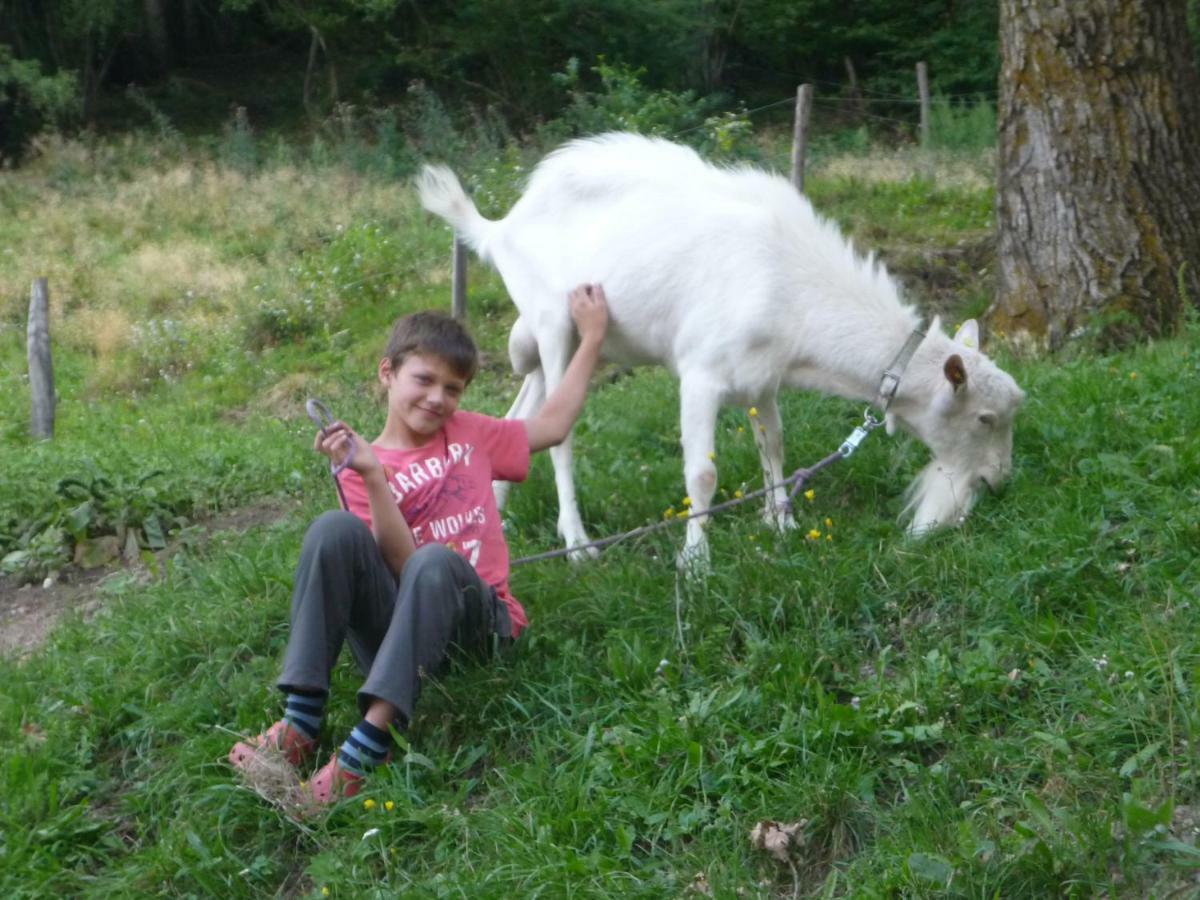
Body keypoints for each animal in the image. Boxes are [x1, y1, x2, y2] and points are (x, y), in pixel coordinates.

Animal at [417, 131, 1027, 566]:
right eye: (984, 418)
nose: (999, 483)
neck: (788, 285)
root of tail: (500, 227)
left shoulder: (762, 377)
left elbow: (774, 444)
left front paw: (780, 522)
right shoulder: (701, 375)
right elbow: (702, 475)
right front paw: (695, 561)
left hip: (580, 347)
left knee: (526, 414)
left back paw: (500, 516)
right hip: (553, 325)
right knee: (559, 437)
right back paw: (578, 545)